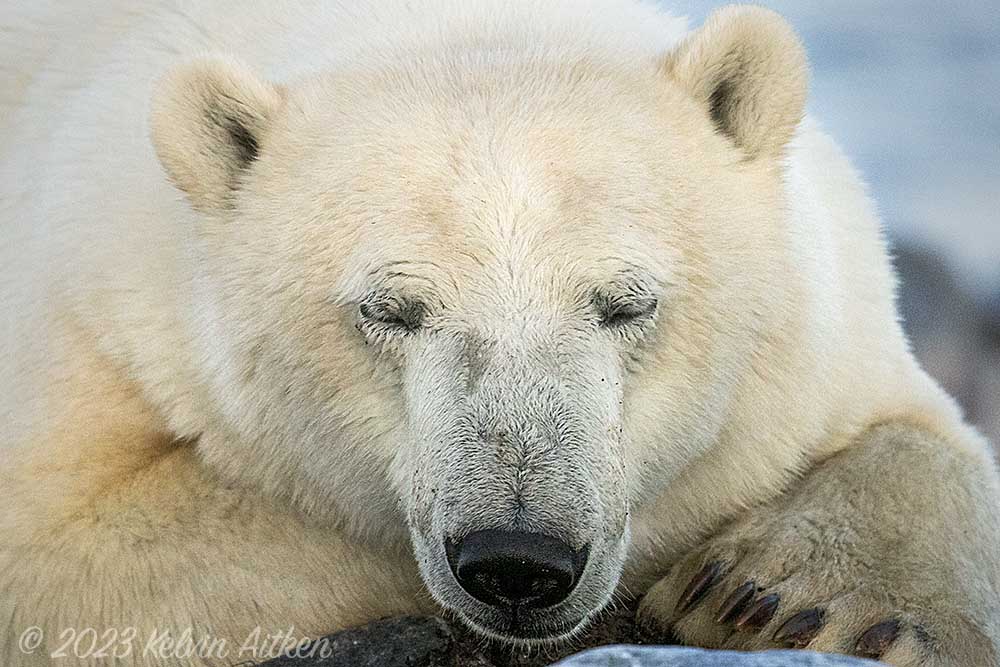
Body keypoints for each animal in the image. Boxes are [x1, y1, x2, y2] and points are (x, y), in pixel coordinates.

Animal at [2, 1, 999, 666]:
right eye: (390, 309)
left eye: (626, 302)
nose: (518, 560)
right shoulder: (88, 301)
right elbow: (66, 555)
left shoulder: (818, 321)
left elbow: (921, 431)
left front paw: (792, 599)